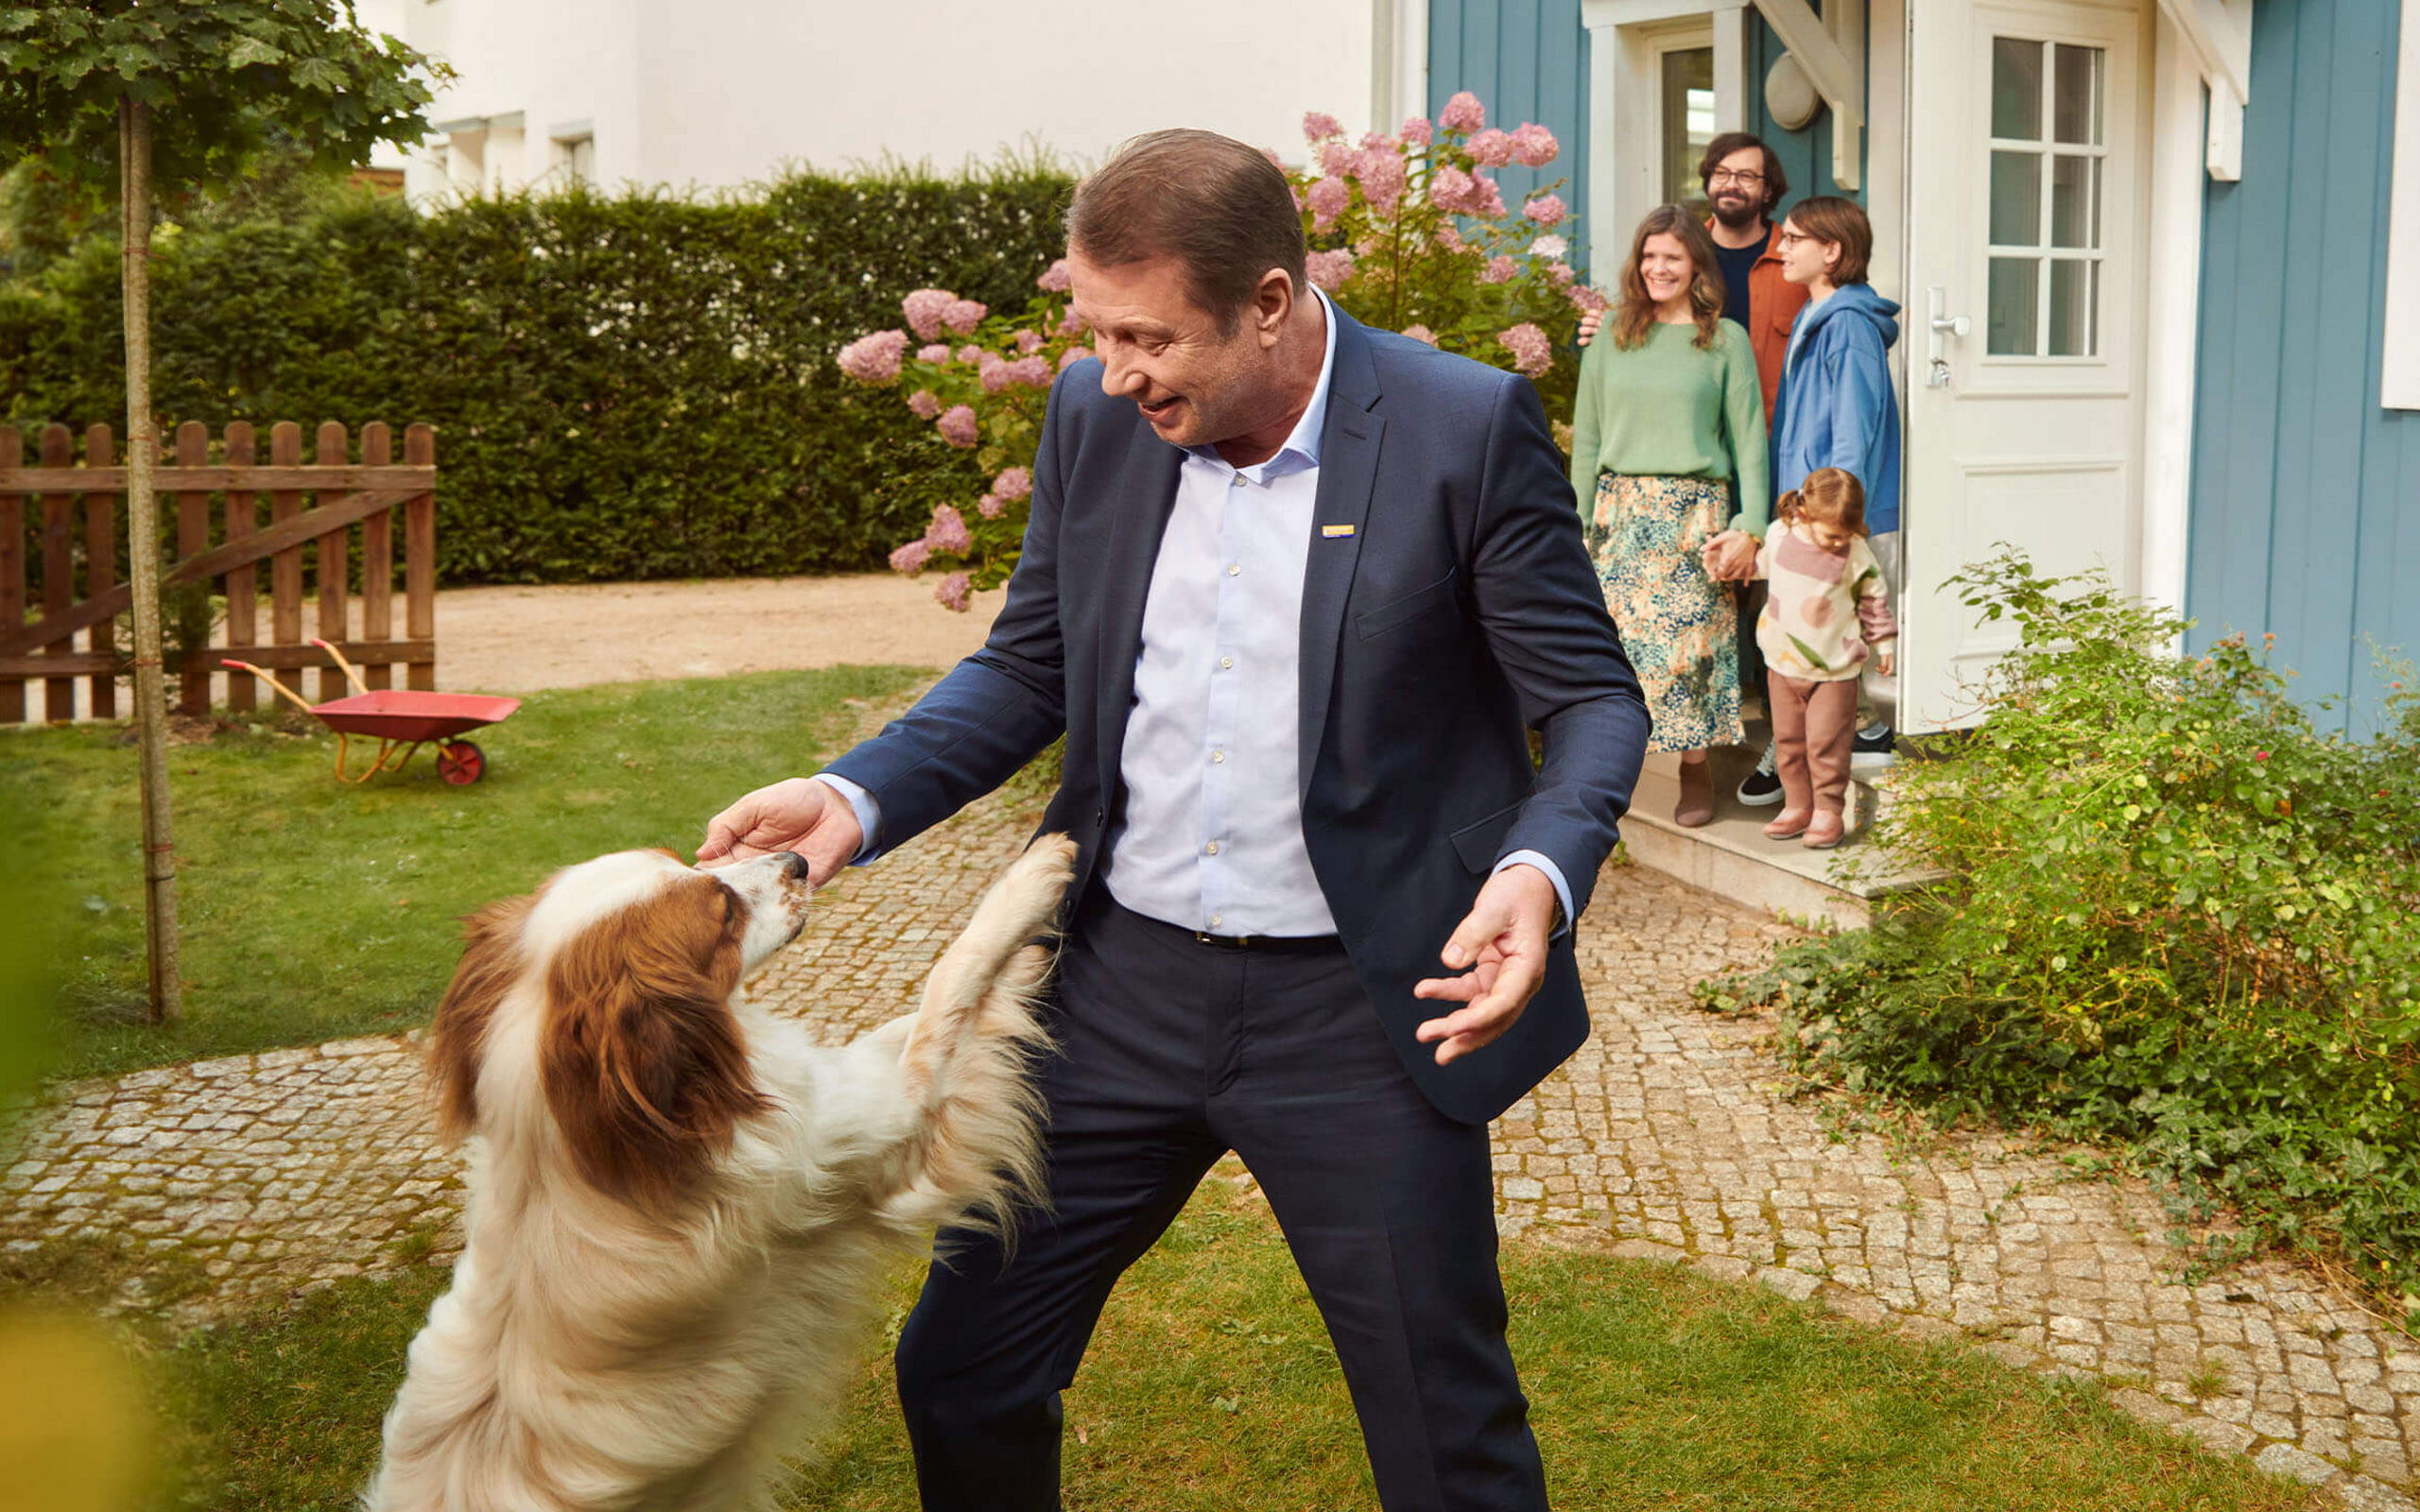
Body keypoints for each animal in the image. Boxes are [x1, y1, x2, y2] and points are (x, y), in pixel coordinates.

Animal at [363, 832, 1074, 1500]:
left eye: (688, 858)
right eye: (723, 911)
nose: (797, 861)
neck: (566, 1154)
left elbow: (923, 1015)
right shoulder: (882, 1135)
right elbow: (946, 985)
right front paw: (1035, 882)